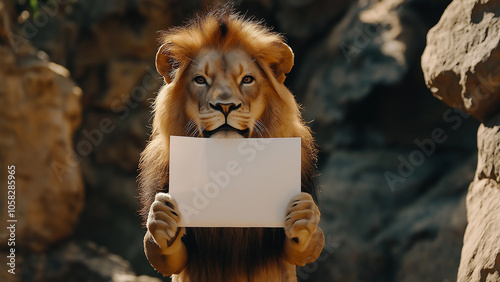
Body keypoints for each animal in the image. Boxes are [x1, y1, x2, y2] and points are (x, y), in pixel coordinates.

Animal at [138, 7, 324, 280]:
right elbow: (164, 254)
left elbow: (306, 246)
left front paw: (303, 216)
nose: (225, 106)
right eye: (200, 80)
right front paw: (162, 217)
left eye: (247, 79)